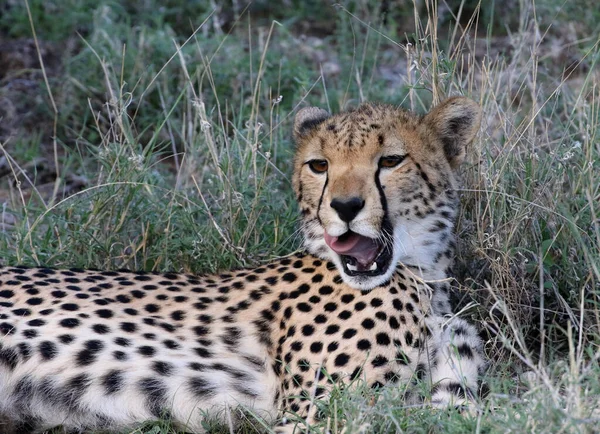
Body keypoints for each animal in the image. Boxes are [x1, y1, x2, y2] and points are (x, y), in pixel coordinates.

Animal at [0, 96, 486, 432]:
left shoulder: (449, 376)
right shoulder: (314, 417)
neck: (423, 274)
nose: (344, 206)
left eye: (391, 160)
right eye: (319, 165)